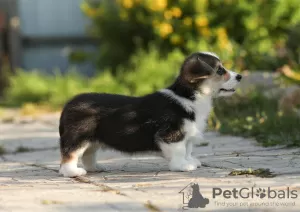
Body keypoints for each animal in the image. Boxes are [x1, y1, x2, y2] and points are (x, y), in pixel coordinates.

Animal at [58, 51, 241, 177]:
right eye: (220, 71)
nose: (240, 76)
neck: (189, 96)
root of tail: (68, 104)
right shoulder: (172, 136)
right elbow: (180, 151)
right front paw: (182, 166)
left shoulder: (187, 135)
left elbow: (188, 150)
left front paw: (190, 161)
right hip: (78, 138)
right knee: (69, 156)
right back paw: (73, 172)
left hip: (93, 141)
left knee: (88, 155)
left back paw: (95, 168)